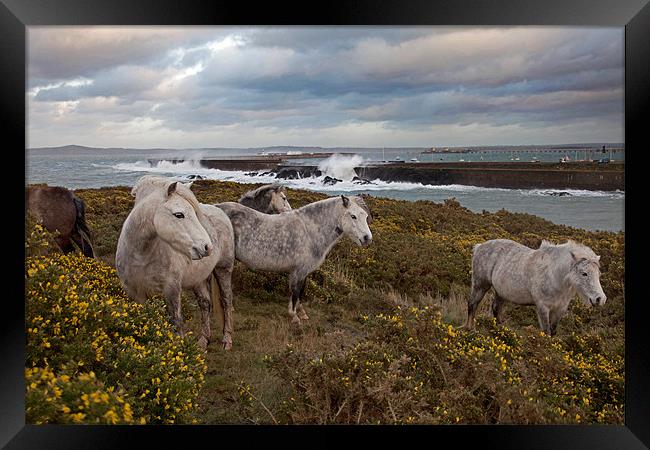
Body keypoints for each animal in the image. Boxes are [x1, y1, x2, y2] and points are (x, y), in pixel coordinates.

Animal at [116, 178, 235, 350]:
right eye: (179, 214)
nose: (208, 247)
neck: (141, 256)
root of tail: (221, 212)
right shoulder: (134, 293)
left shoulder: (171, 289)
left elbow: (176, 322)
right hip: (198, 278)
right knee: (205, 304)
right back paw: (203, 341)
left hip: (223, 269)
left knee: (226, 301)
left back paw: (227, 339)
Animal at [216, 195, 372, 326]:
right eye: (353, 216)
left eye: (365, 216)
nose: (367, 238)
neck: (310, 231)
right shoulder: (299, 271)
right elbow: (296, 293)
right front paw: (294, 317)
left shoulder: (303, 271)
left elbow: (301, 292)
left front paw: (302, 313)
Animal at [460, 239, 604, 334]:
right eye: (584, 273)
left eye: (598, 274)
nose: (600, 299)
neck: (554, 276)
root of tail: (479, 246)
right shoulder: (543, 308)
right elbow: (546, 331)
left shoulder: (559, 309)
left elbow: (553, 331)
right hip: (480, 285)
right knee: (472, 304)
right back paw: (469, 328)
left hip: (500, 292)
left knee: (496, 308)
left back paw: (501, 329)